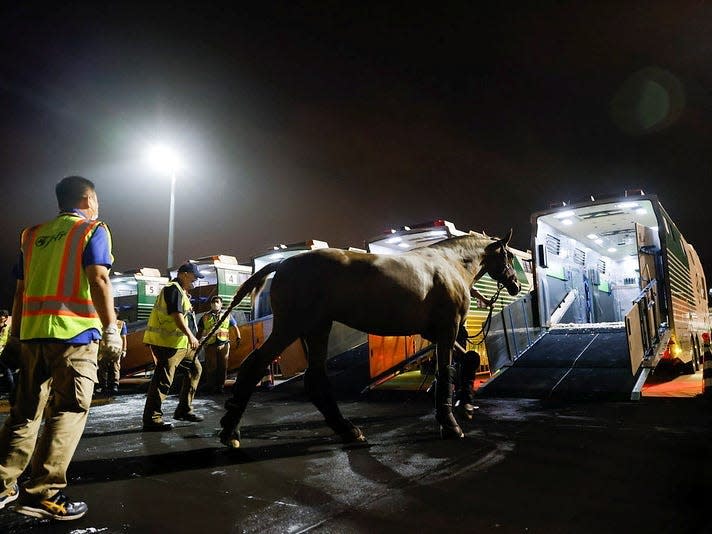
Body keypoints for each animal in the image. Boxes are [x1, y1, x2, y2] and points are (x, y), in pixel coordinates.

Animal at [214, 230, 520, 448]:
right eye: (508, 257)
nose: (515, 284)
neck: (449, 263)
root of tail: (283, 263)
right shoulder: (447, 329)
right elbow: (446, 371)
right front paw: (450, 424)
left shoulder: (434, 332)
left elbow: (469, 359)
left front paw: (466, 404)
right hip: (291, 327)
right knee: (256, 364)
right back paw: (230, 430)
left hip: (316, 329)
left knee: (314, 378)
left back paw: (347, 430)